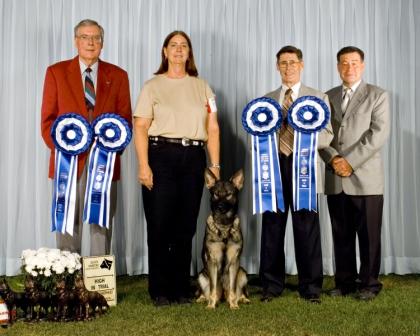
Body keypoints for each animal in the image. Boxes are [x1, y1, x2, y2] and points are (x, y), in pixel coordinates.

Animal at [197, 169, 249, 308]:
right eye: (216, 194)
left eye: (229, 194)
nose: (220, 207)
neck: (224, 228)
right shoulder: (212, 261)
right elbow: (213, 289)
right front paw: (211, 305)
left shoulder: (234, 262)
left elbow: (233, 288)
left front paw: (234, 305)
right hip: (202, 275)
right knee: (206, 291)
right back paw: (203, 299)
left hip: (242, 272)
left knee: (238, 290)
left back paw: (242, 299)